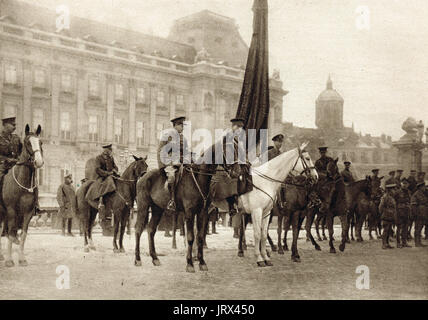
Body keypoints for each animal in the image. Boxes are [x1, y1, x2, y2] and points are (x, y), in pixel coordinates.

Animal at [0, 125, 43, 268]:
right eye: (28, 142)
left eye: (40, 142)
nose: (39, 161)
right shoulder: (11, 211)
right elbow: (11, 233)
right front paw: (9, 260)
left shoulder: (28, 213)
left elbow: (23, 234)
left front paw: (22, 259)